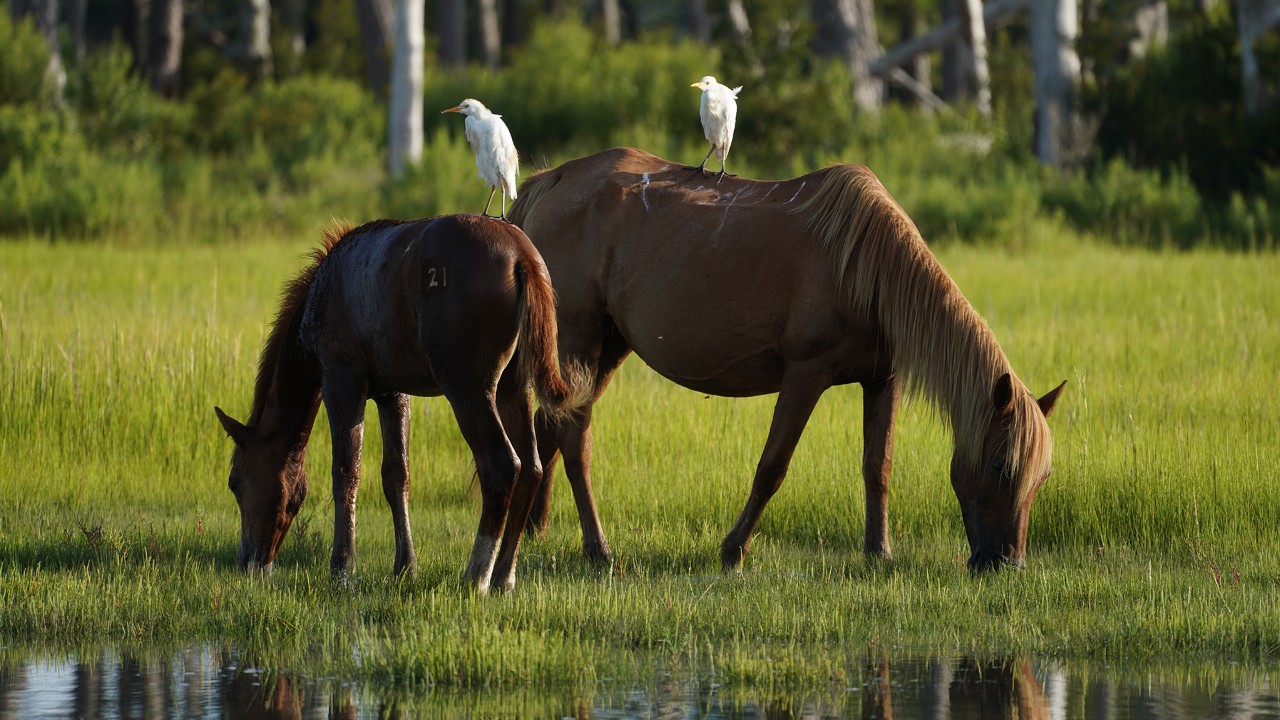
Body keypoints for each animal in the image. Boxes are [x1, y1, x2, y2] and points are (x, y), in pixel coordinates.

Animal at [213, 214, 590, 593]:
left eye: (234, 481)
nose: (247, 562)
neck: (325, 290)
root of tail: (520, 255)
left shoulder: (342, 380)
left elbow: (346, 472)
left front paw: (342, 568)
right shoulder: (392, 393)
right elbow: (397, 476)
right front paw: (405, 566)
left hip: (469, 390)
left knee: (502, 467)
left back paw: (476, 576)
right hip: (513, 390)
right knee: (532, 469)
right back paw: (503, 576)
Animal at [502, 147, 1066, 575]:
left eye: (1041, 479)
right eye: (1000, 464)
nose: (1007, 563)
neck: (867, 267)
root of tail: (551, 180)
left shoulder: (884, 380)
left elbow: (877, 466)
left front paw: (879, 552)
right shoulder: (805, 376)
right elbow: (773, 465)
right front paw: (733, 550)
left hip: (606, 348)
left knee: (551, 426)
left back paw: (535, 528)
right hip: (582, 341)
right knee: (575, 439)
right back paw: (598, 550)